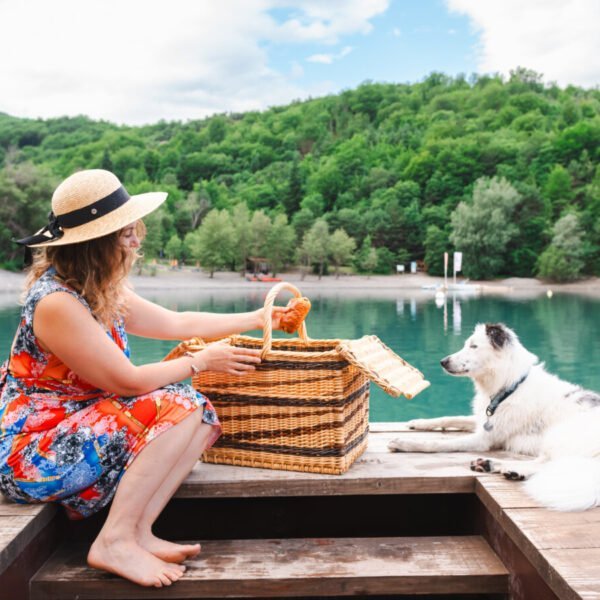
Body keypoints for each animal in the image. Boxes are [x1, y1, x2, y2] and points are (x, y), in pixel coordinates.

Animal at [386, 324, 600, 510]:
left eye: (473, 346)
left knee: (552, 464)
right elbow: (450, 418)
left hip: (559, 435)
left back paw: (511, 469)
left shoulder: (483, 439)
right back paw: (491, 465)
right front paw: (418, 423)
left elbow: (436, 444)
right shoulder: (484, 420)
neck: (510, 386)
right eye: (466, 344)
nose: (443, 362)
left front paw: (403, 442)